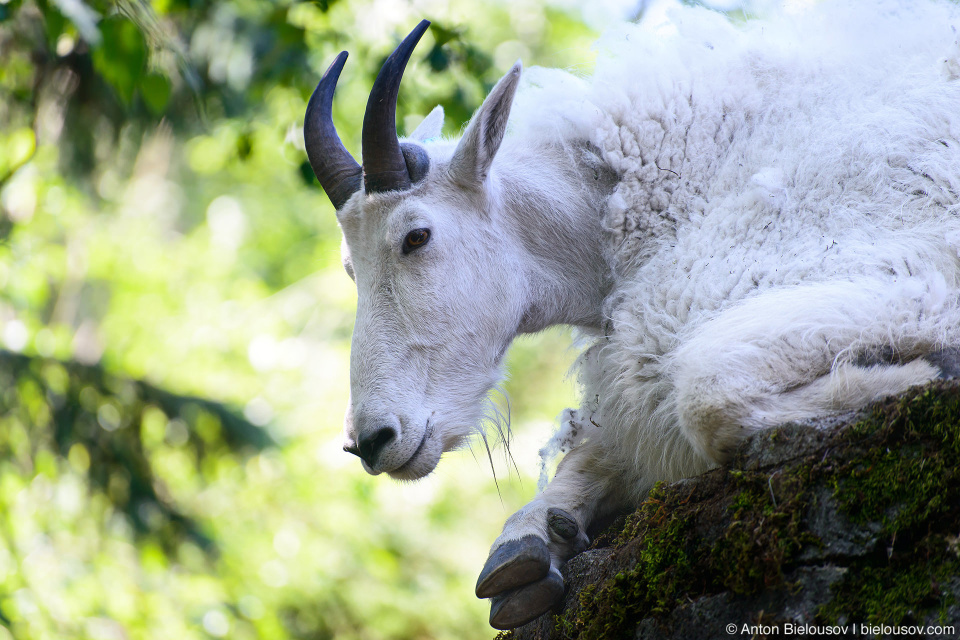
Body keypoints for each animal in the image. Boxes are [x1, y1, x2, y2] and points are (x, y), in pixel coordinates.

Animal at [304, 1, 960, 632]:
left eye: (416, 236)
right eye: (349, 266)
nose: (371, 441)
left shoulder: (899, 273)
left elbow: (707, 396)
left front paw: (921, 372)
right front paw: (528, 548)